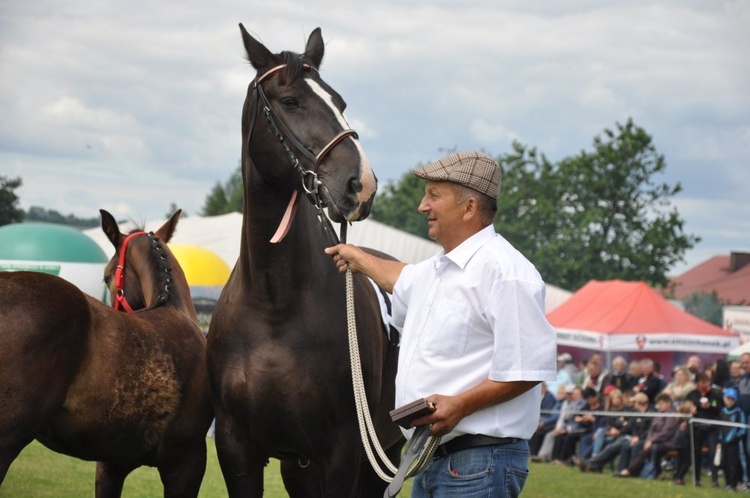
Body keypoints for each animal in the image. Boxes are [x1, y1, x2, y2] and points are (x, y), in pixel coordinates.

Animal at [206, 25, 406, 496]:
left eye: (340, 102)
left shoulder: (343, 452)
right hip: (298, 467)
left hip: (381, 454)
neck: (275, 306)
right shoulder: (236, 450)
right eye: (291, 100)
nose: (361, 184)